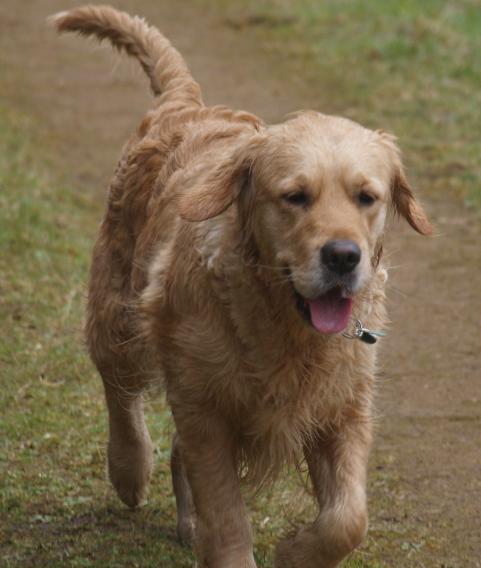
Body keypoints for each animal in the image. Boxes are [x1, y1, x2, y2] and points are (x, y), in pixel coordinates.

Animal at [54, 5, 434, 568]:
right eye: (295, 196)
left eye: (367, 196)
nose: (343, 257)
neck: (282, 324)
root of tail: (185, 104)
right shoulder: (206, 409)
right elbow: (228, 513)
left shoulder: (343, 406)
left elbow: (348, 519)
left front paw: (296, 550)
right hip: (117, 309)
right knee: (118, 389)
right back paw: (129, 470)